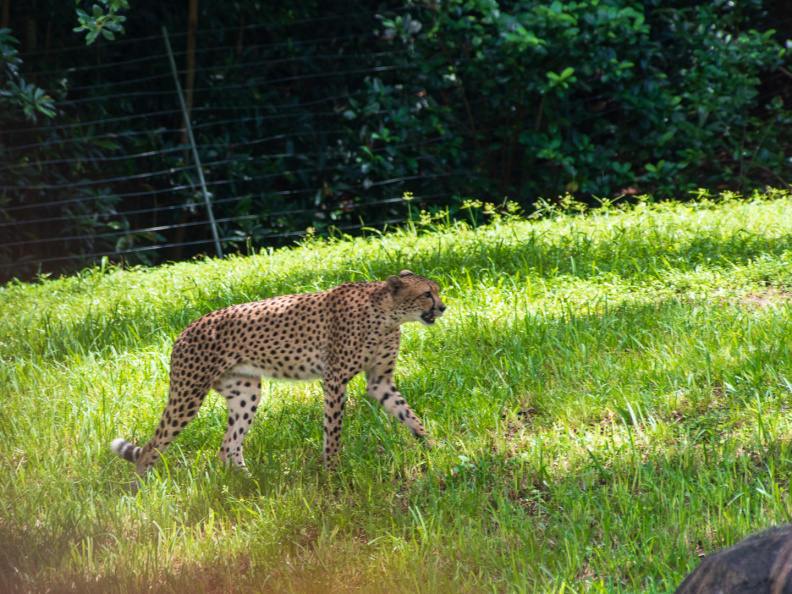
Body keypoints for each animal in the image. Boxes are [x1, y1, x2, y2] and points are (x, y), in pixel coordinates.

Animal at [111, 270, 446, 490]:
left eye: (438, 290)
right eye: (426, 294)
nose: (443, 307)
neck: (386, 315)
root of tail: (186, 328)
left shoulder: (380, 381)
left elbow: (410, 416)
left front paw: (437, 448)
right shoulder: (335, 380)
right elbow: (333, 431)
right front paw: (332, 472)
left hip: (245, 394)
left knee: (227, 445)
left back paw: (247, 484)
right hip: (188, 394)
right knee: (153, 445)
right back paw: (139, 494)